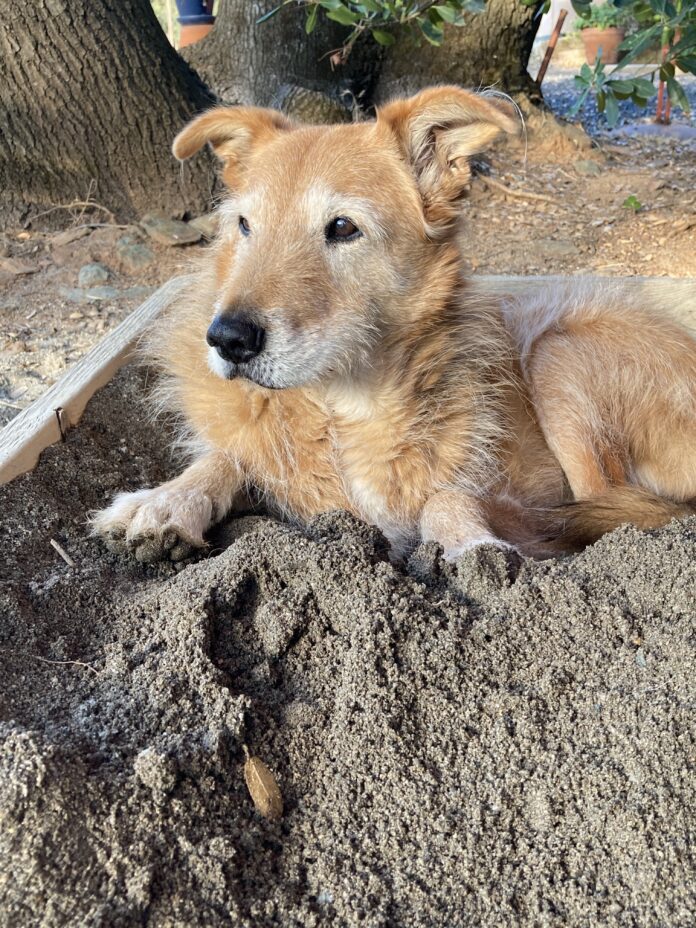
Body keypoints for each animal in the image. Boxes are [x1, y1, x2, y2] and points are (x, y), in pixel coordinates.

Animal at [89, 87, 692, 560]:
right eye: (243, 225)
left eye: (342, 228)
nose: (227, 339)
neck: (342, 406)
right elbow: (227, 458)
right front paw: (163, 503)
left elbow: (447, 497)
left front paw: (473, 546)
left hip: (557, 352)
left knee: (615, 503)